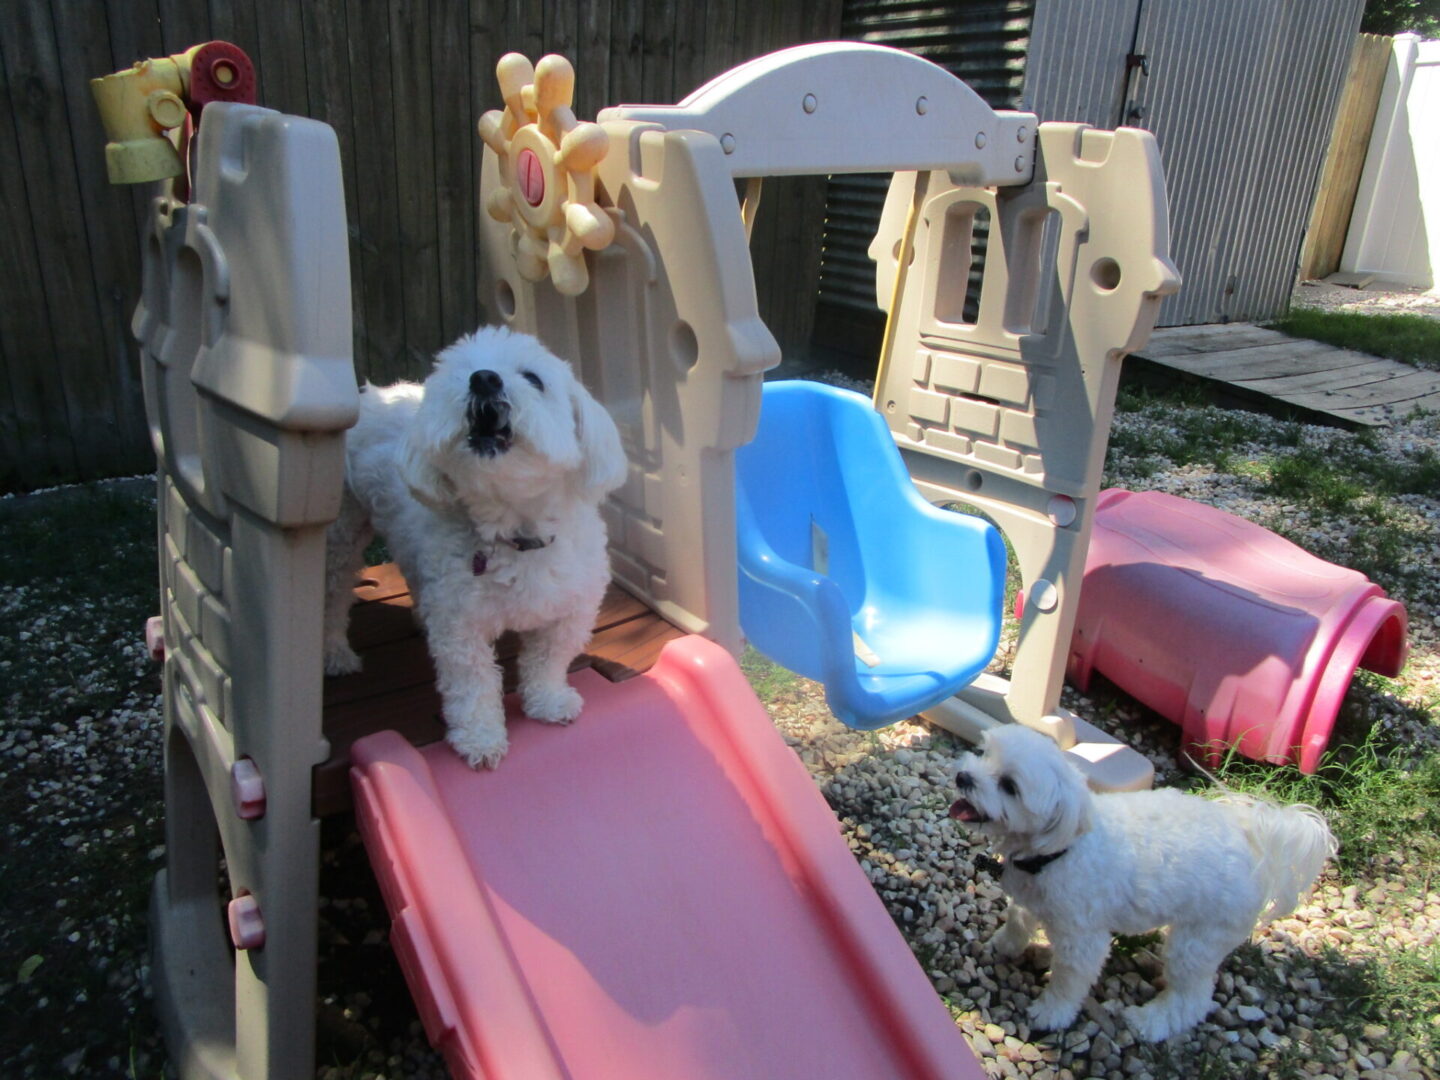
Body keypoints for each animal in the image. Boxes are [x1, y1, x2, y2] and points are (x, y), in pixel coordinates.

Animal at [329, 328, 627, 771]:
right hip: (342, 533)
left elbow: (549, 659)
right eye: (462, 375)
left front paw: (549, 701)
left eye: (534, 379)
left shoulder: (571, 611)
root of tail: (373, 393)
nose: (483, 379)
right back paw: (335, 653)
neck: (518, 534)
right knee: (332, 595)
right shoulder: (460, 627)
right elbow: (472, 685)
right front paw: (480, 738)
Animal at [950, 722, 1330, 1042]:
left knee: (1192, 998)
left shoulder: (1082, 940)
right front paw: (1004, 945)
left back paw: (1152, 1022)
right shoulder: (1029, 896)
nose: (963, 777)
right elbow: (1017, 920)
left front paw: (1051, 1013)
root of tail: (1252, 842)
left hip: (1199, 939)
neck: (1060, 849)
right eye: (984, 753)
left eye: (1009, 786)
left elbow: (1069, 980)